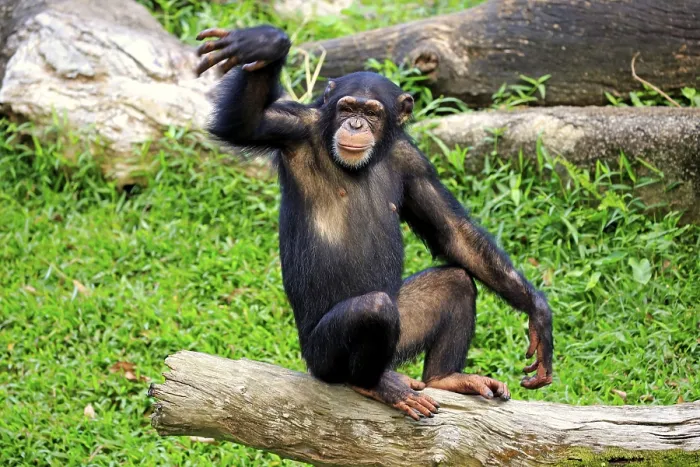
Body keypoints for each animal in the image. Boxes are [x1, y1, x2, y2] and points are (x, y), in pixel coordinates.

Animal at [195, 25, 553, 420]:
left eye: (372, 112)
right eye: (348, 108)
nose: (355, 124)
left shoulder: (414, 162)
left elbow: (453, 233)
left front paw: (539, 317)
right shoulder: (293, 128)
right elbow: (246, 123)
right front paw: (263, 44)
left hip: (402, 332)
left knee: (455, 281)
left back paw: (445, 377)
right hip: (321, 357)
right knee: (375, 310)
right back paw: (375, 384)